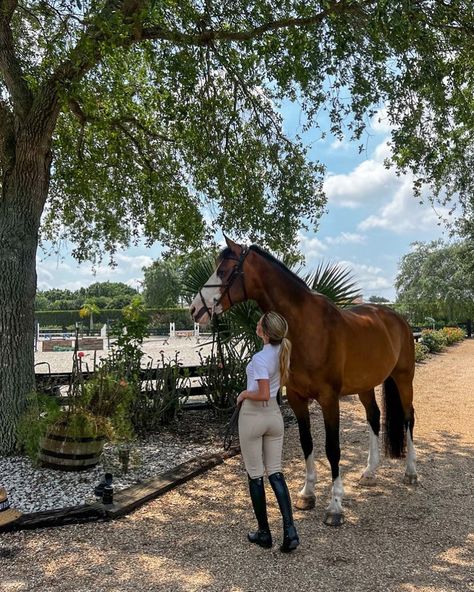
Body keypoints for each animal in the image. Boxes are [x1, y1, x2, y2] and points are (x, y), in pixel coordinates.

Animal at [191, 238, 416, 524]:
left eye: (223, 270)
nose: (195, 309)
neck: (306, 326)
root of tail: (396, 318)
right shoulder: (298, 398)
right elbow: (306, 442)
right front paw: (307, 494)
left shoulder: (329, 399)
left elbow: (332, 448)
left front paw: (335, 506)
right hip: (365, 385)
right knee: (374, 417)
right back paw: (369, 472)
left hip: (403, 378)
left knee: (409, 417)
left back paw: (411, 472)